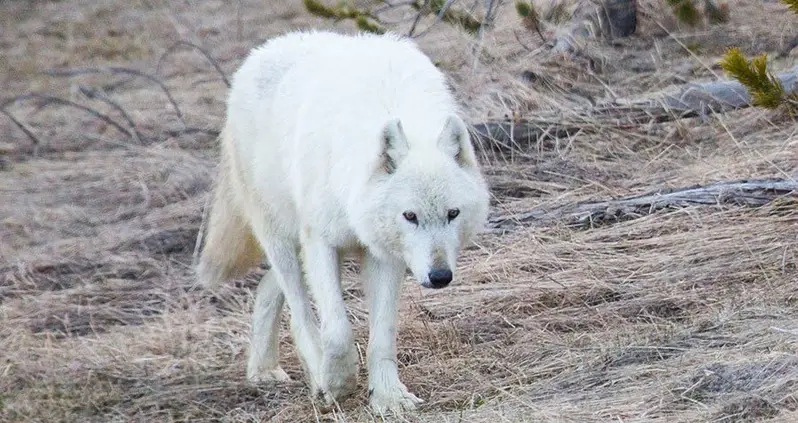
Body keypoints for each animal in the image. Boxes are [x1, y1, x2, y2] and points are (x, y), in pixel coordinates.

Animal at [196, 30, 490, 414]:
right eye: (410, 216)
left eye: (452, 214)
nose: (440, 277)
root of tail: (263, 49)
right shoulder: (321, 242)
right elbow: (337, 330)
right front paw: (337, 383)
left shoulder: (384, 254)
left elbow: (383, 336)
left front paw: (388, 397)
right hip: (282, 238)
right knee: (299, 310)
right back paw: (312, 377)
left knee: (266, 289)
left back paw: (264, 369)